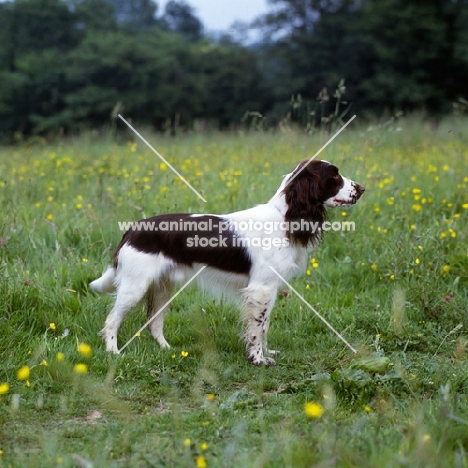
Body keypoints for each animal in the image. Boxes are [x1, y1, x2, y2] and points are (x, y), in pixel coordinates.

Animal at [89, 159, 364, 364]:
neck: (284, 217)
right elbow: (257, 328)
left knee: (154, 322)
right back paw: (113, 353)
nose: (361, 189)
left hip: (163, 287)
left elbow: (264, 326)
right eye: (335, 176)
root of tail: (131, 230)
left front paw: (267, 353)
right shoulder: (261, 288)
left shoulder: (269, 288)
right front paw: (259, 359)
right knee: (112, 320)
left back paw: (166, 349)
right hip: (135, 286)